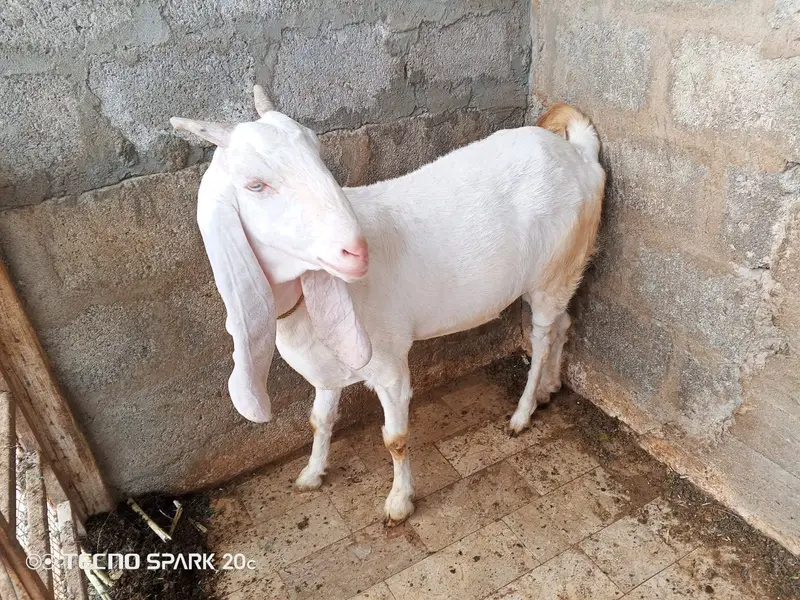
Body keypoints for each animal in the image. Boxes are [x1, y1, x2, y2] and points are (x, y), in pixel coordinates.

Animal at [171, 87, 605, 524]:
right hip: (561, 273)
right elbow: (319, 420)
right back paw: (549, 388)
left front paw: (399, 502)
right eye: (255, 185)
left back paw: (522, 413)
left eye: (317, 149)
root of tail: (580, 154)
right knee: (563, 324)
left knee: (543, 338)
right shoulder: (328, 366)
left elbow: (395, 439)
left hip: (553, 269)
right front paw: (312, 473)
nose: (356, 250)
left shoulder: (389, 363)